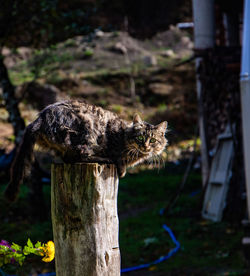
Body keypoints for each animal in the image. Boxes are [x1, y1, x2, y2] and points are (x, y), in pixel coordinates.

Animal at [4, 100, 168, 202]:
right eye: (140, 137)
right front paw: (121, 169)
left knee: (68, 158)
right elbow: (117, 156)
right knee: (81, 155)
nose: (146, 146)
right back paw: (102, 159)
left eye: (153, 141)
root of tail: (41, 117)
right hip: (86, 128)